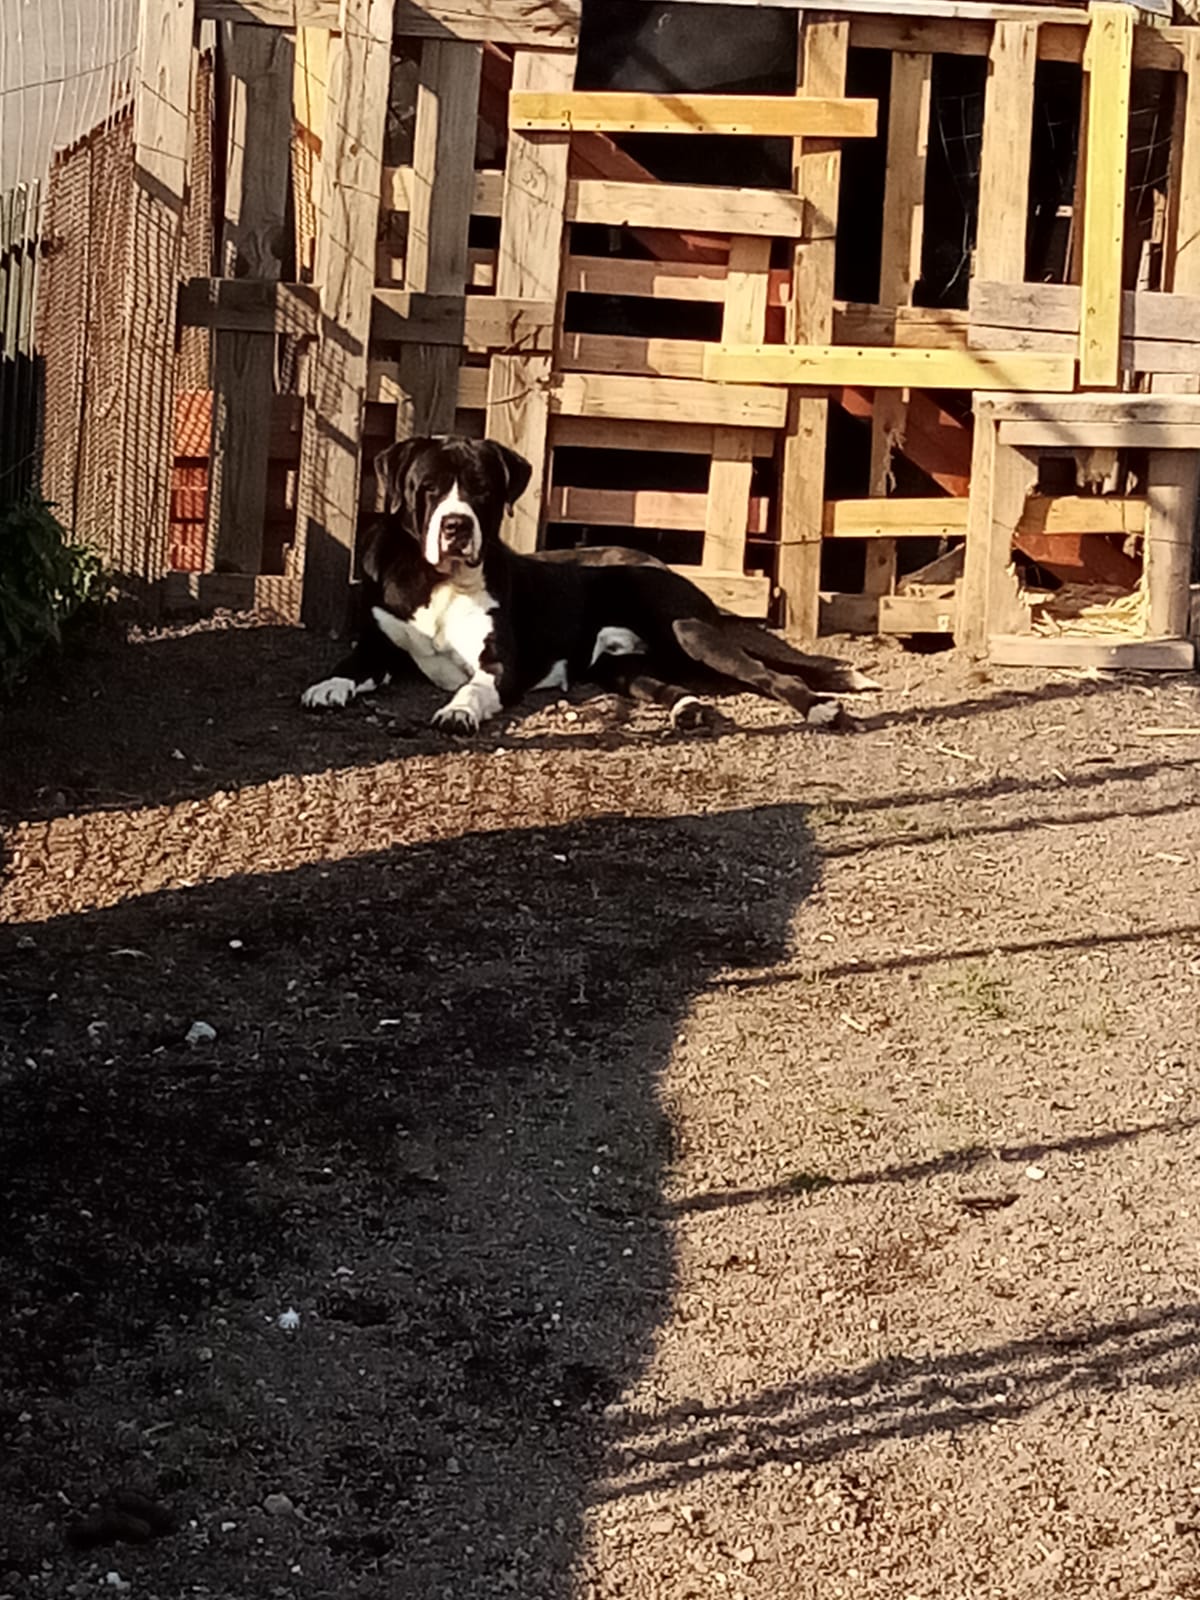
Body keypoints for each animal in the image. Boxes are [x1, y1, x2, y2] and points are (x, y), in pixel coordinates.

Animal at [301, 435, 877, 733]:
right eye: (428, 489)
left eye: (482, 489)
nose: (456, 526)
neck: (435, 578)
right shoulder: (380, 642)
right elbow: (352, 662)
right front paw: (329, 685)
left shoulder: (500, 667)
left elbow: (473, 686)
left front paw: (459, 709)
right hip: (620, 666)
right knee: (665, 683)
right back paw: (686, 708)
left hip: (690, 633)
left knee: (769, 674)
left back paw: (819, 706)